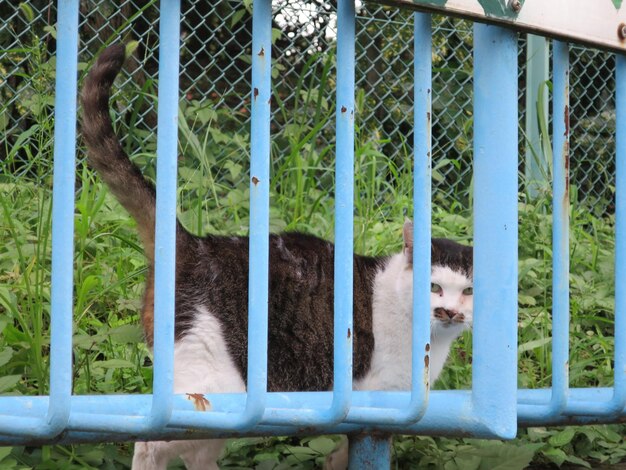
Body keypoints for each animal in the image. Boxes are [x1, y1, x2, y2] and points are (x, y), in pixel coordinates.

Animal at [81, 44, 472, 470]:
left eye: (468, 291)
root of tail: (193, 245)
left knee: (196, 452)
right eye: (433, 286)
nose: (450, 311)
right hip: (214, 383)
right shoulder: (377, 399)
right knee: (151, 440)